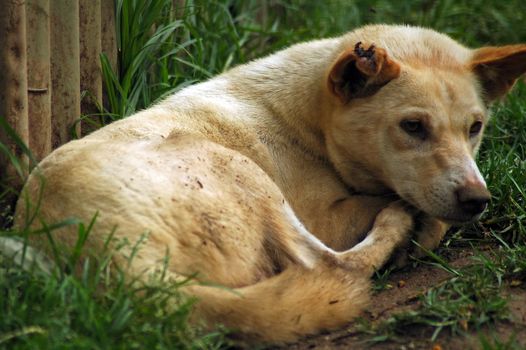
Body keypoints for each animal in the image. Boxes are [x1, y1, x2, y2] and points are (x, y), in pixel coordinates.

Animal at [15, 24, 526, 342]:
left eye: (475, 127)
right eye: (413, 127)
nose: (478, 200)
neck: (306, 117)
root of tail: (131, 274)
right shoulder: (327, 215)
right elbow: (413, 213)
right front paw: (416, 225)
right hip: (241, 170)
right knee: (330, 265)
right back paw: (397, 229)